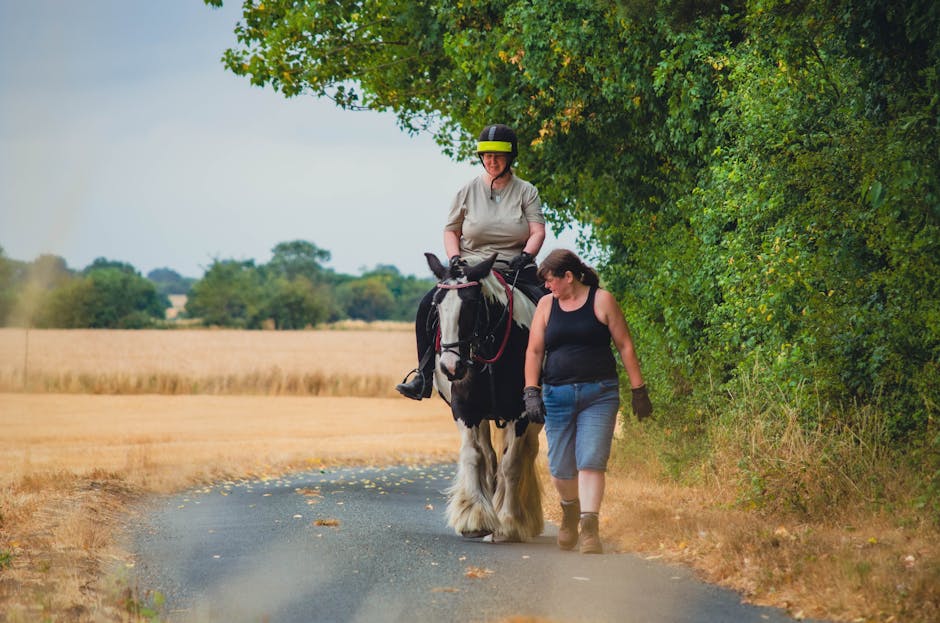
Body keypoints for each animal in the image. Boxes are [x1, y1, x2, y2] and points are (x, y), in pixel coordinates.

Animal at [424, 251, 544, 544]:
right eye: (437, 305)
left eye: (471, 304)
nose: (450, 367)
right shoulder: (465, 409)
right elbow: (474, 456)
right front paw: (474, 518)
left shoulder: (521, 413)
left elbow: (512, 464)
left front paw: (509, 523)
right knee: (488, 456)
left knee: (526, 454)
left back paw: (525, 517)